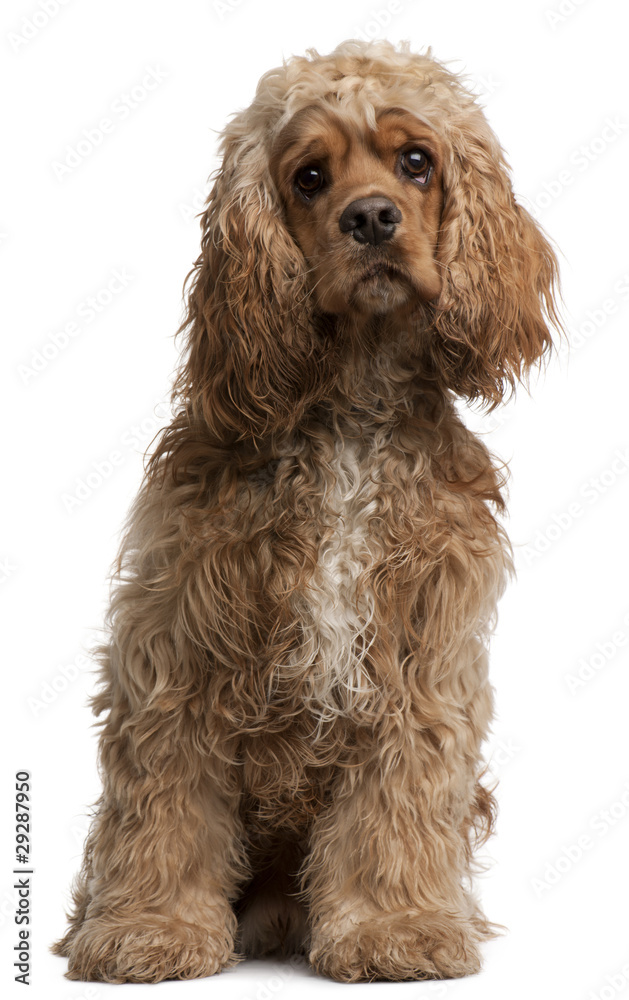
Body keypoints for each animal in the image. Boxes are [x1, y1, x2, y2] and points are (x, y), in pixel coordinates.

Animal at [52, 41, 556, 984]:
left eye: (415, 160)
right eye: (310, 176)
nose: (371, 219)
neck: (350, 408)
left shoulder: (419, 659)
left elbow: (397, 805)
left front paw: (396, 928)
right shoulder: (177, 644)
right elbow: (166, 805)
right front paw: (152, 928)